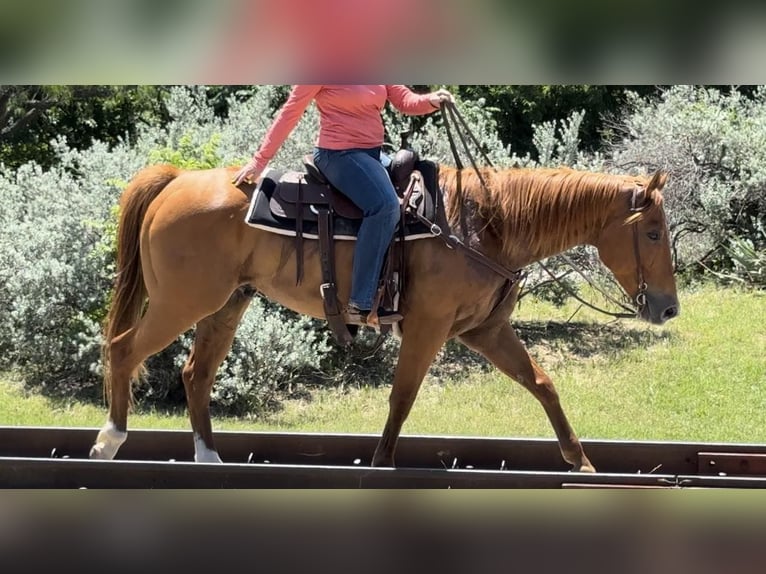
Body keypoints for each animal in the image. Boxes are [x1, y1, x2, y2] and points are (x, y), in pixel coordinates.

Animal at [87, 161, 680, 472]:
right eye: (652, 232)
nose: (668, 307)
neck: (484, 224)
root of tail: (177, 178)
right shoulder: (429, 326)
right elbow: (403, 397)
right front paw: (379, 466)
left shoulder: (484, 329)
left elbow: (542, 383)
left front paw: (583, 465)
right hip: (182, 302)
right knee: (123, 349)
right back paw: (109, 441)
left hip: (225, 305)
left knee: (196, 374)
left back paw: (209, 461)